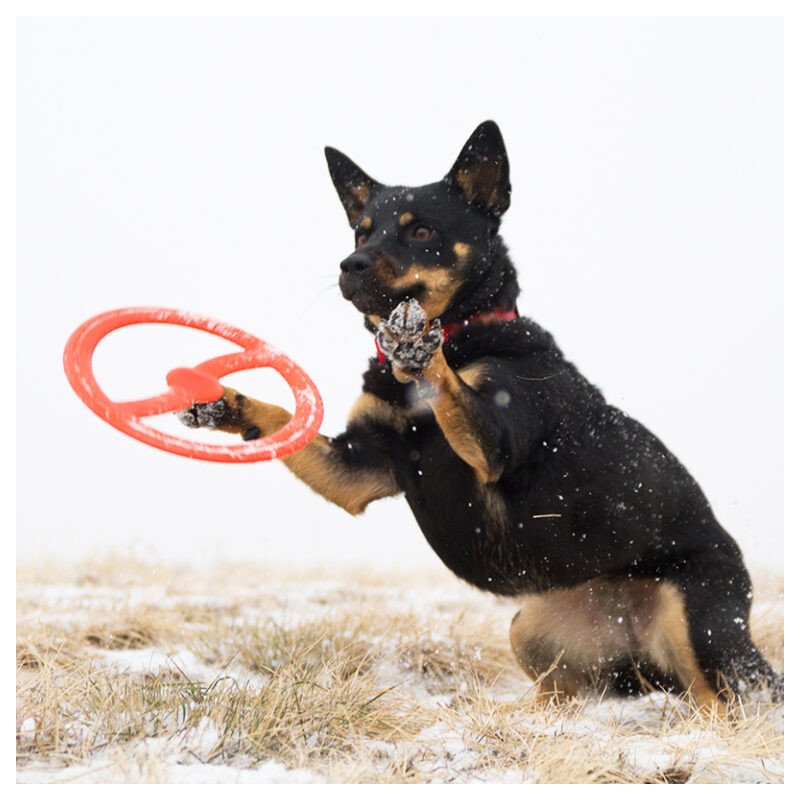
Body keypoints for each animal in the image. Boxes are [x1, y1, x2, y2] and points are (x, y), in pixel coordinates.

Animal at [180, 120, 780, 712]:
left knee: (722, 700)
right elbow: (281, 415)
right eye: (361, 233)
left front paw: (417, 342)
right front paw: (222, 403)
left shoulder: (495, 442)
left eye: (422, 231)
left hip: (694, 620)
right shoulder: (356, 469)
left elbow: (450, 386)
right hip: (535, 630)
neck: (465, 332)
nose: (349, 265)